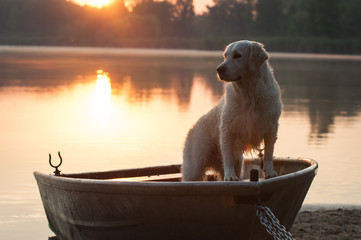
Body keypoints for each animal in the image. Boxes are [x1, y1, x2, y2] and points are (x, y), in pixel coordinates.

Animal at [183, 40, 282, 181]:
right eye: (225, 56)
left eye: (237, 55)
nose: (219, 69)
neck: (250, 94)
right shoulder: (227, 131)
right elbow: (228, 157)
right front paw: (230, 176)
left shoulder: (271, 128)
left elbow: (268, 153)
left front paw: (269, 172)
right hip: (194, 168)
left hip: (238, 162)